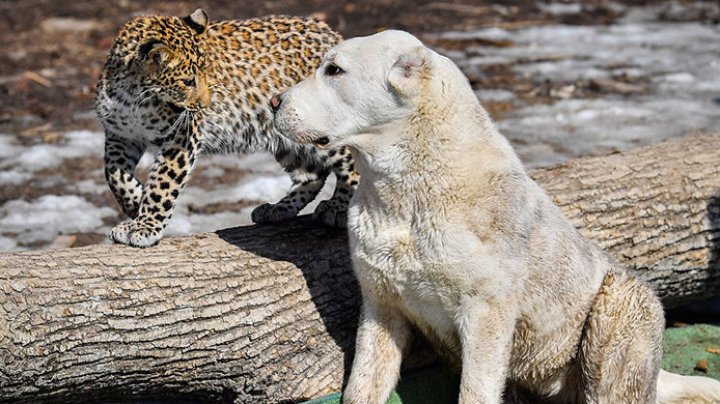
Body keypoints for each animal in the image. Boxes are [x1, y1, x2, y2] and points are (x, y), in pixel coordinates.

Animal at [272, 30, 720, 402]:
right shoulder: (382, 307)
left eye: (334, 70)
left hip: (620, 308)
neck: (405, 192)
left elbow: (476, 390)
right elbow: (362, 386)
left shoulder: (486, 313)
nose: (274, 102)